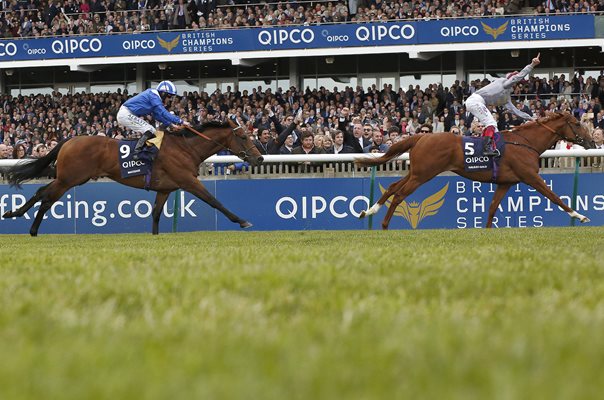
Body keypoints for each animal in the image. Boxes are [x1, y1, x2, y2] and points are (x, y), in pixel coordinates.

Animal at [2, 117, 264, 236]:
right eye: (243, 137)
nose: (260, 158)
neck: (186, 148)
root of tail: (69, 140)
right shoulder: (188, 181)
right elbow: (214, 201)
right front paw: (242, 220)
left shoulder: (165, 189)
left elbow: (156, 213)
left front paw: (155, 236)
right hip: (69, 179)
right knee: (45, 197)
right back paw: (28, 225)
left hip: (70, 178)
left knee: (41, 193)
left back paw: (16, 215)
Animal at [358, 113, 596, 231]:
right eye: (577, 123)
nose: (592, 142)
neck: (525, 142)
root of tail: (421, 136)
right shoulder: (530, 177)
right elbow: (555, 197)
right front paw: (580, 216)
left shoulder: (505, 182)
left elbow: (492, 207)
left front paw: (487, 230)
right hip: (422, 175)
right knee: (399, 194)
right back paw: (384, 224)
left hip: (416, 172)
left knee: (392, 186)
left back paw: (368, 211)